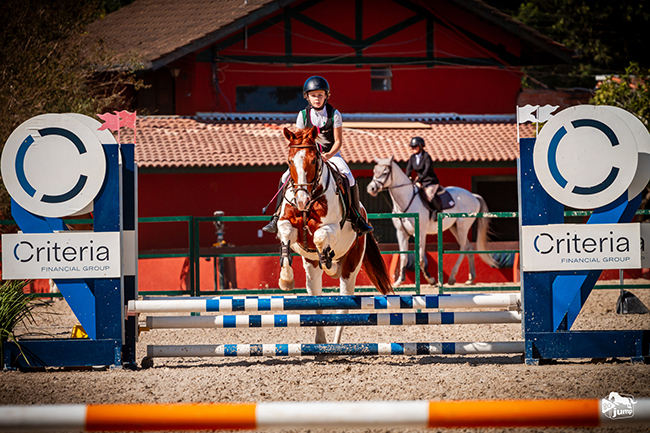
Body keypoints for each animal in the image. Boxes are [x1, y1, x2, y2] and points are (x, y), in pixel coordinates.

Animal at [274, 126, 390, 342]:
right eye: (290, 161)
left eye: (313, 161)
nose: (301, 201)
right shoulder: (285, 224)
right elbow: (286, 235)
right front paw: (286, 280)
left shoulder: (333, 228)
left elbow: (319, 237)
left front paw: (327, 262)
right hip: (311, 268)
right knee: (316, 300)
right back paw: (320, 341)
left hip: (352, 264)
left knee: (343, 306)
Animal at [364, 157, 496, 286]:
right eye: (374, 171)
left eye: (385, 172)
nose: (371, 188)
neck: (404, 202)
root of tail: (474, 196)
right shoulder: (401, 233)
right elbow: (403, 257)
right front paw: (399, 281)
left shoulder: (420, 232)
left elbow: (421, 257)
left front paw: (430, 279)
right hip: (454, 228)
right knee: (469, 247)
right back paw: (470, 278)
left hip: (462, 226)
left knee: (464, 247)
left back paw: (452, 277)